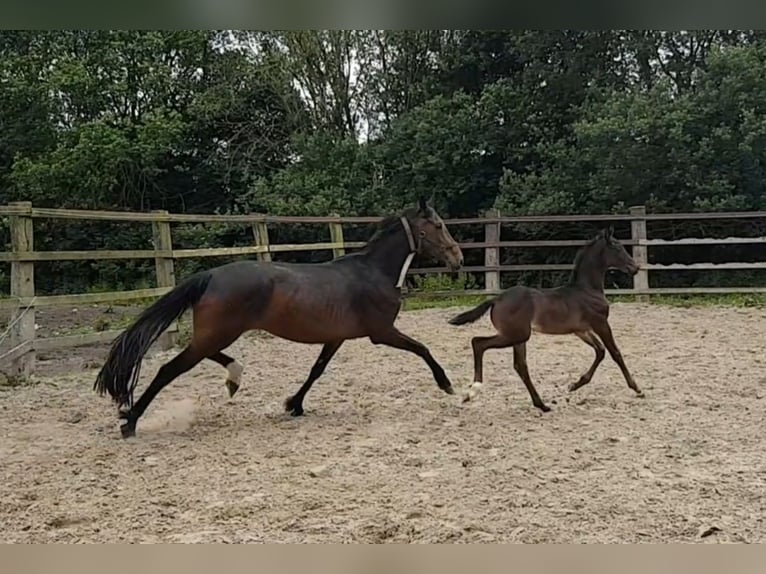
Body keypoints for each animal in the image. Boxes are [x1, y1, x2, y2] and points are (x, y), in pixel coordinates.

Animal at [93, 199, 464, 440]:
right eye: (439, 225)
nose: (458, 258)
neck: (373, 273)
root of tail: (211, 275)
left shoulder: (336, 337)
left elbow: (317, 370)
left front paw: (293, 404)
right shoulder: (382, 331)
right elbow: (422, 348)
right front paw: (447, 384)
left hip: (217, 333)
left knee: (203, 358)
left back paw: (233, 377)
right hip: (219, 332)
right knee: (169, 369)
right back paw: (130, 421)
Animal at [448, 227, 644, 412]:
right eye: (617, 247)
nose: (635, 268)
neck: (587, 290)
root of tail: (497, 299)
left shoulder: (581, 330)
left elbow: (600, 351)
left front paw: (575, 385)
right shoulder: (601, 323)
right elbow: (615, 353)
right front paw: (637, 388)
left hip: (518, 337)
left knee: (520, 366)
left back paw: (541, 405)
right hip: (517, 335)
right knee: (478, 343)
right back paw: (473, 391)